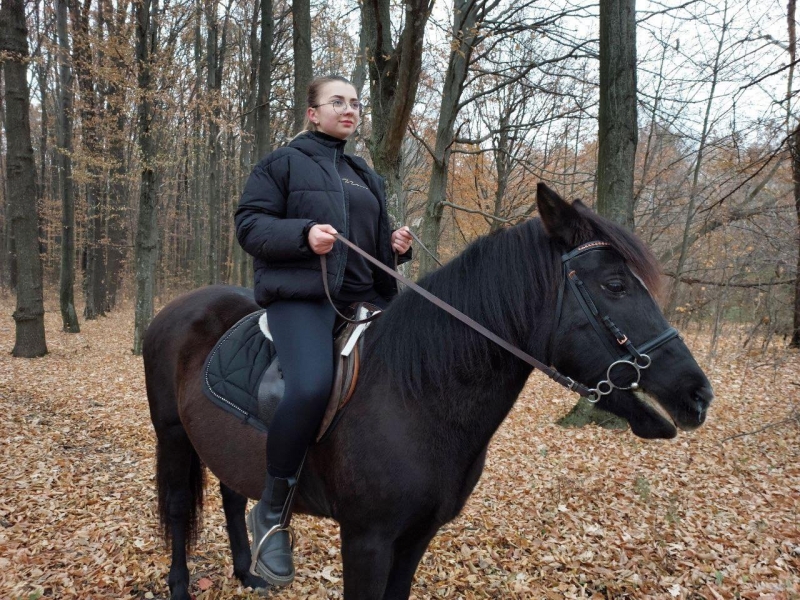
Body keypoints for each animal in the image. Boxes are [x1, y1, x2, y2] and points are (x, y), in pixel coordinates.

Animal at [142, 184, 712, 600]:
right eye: (615, 285)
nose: (699, 394)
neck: (415, 395)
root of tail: (176, 309)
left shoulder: (417, 536)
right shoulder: (366, 539)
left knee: (233, 495)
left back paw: (248, 572)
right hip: (172, 435)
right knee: (179, 509)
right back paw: (181, 586)